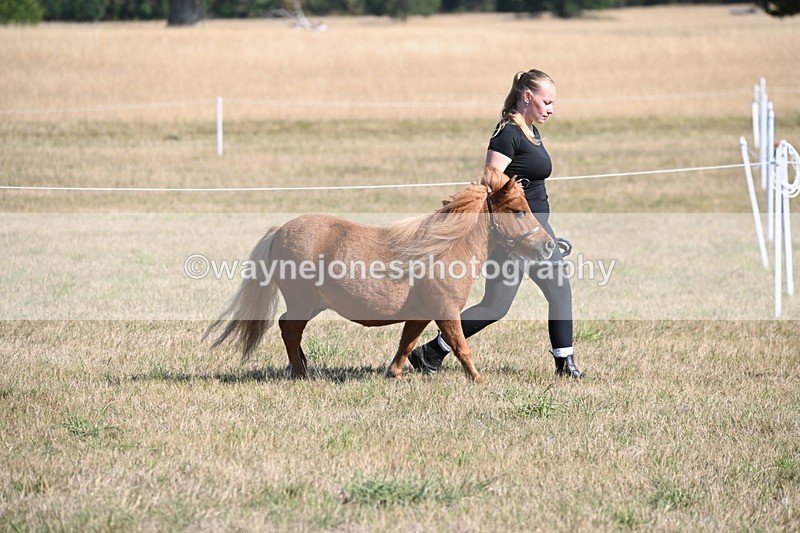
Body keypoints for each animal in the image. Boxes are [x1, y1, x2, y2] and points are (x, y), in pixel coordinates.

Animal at [205, 166, 555, 383]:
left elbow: (407, 343)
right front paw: (477, 378)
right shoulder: (446, 311)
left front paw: (395, 372)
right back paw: (300, 373)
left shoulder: (420, 314)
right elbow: (460, 345)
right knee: (289, 328)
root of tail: (279, 231)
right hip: (303, 302)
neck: (445, 249)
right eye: (518, 211)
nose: (549, 246)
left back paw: (302, 367)